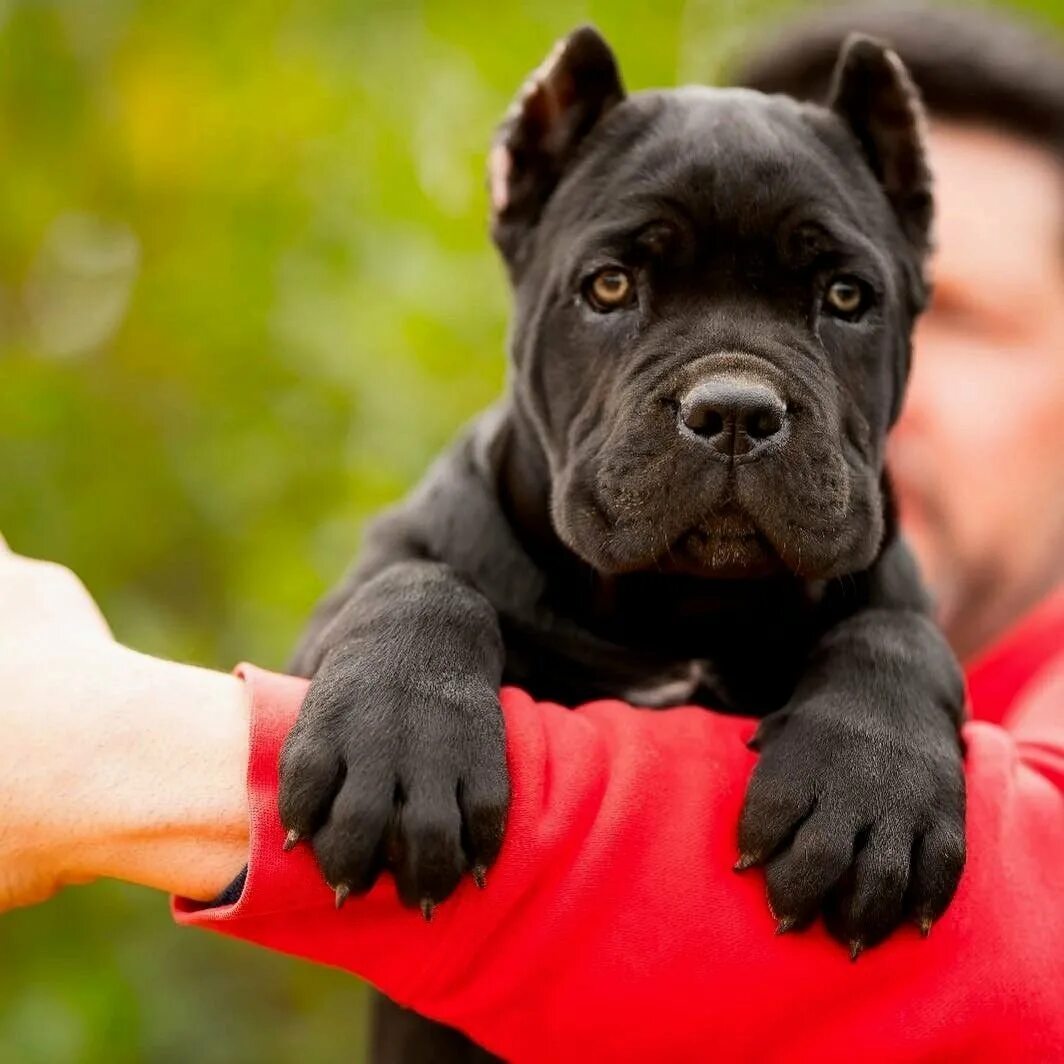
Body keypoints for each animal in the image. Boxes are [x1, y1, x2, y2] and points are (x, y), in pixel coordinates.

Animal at [280, 26, 966, 1064]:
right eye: (610, 286)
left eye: (847, 297)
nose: (734, 410)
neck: (676, 609)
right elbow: (419, 582)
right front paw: (401, 741)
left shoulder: (898, 603)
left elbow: (896, 634)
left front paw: (872, 791)